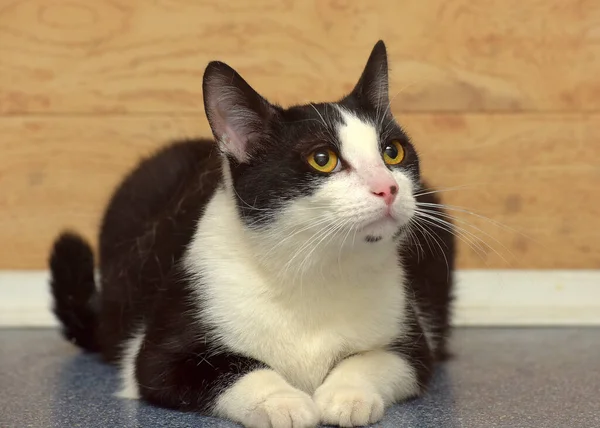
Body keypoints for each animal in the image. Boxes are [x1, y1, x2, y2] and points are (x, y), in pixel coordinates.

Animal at [49, 41, 454, 428]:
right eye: (322, 159)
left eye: (393, 151)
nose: (388, 187)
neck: (314, 271)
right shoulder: (158, 353)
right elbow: (234, 369)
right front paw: (282, 402)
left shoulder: (412, 340)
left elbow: (382, 359)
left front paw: (347, 395)